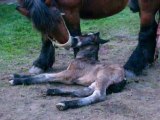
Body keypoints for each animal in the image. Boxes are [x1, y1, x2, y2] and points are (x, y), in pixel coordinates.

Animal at [16, 0, 160, 76]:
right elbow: (45, 40)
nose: (66, 43)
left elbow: (76, 34)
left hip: (147, 5)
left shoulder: (70, 11)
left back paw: (132, 66)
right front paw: (41, 64)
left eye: (59, 18)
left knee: (146, 32)